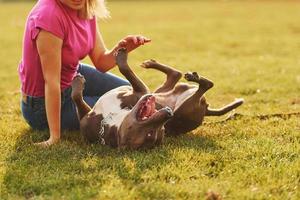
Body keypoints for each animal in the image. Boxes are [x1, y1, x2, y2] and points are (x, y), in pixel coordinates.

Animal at [71, 48, 244, 148]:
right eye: (151, 133)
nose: (168, 114)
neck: (110, 120)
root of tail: (206, 110)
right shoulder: (87, 116)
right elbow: (76, 97)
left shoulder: (141, 90)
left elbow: (125, 69)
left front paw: (121, 56)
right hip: (169, 92)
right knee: (179, 76)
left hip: (184, 103)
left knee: (204, 83)